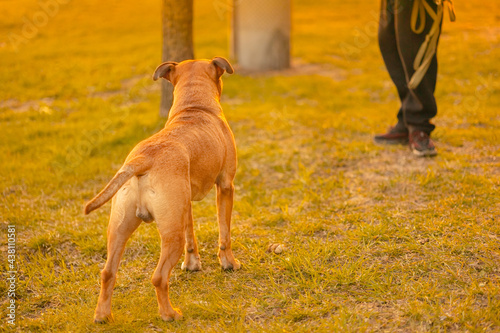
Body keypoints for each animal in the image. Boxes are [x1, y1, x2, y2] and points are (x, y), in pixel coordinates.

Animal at [85, 57, 241, 322]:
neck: (194, 107)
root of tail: (142, 160)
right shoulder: (225, 187)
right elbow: (224, 233)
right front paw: (228, 263)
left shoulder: (185, 205)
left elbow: (192, 237)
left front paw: (192, 264)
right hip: (170, 236)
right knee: (158, 277)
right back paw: (169, 314)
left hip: (121, 228)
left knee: (107, 273)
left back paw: (103, 316)